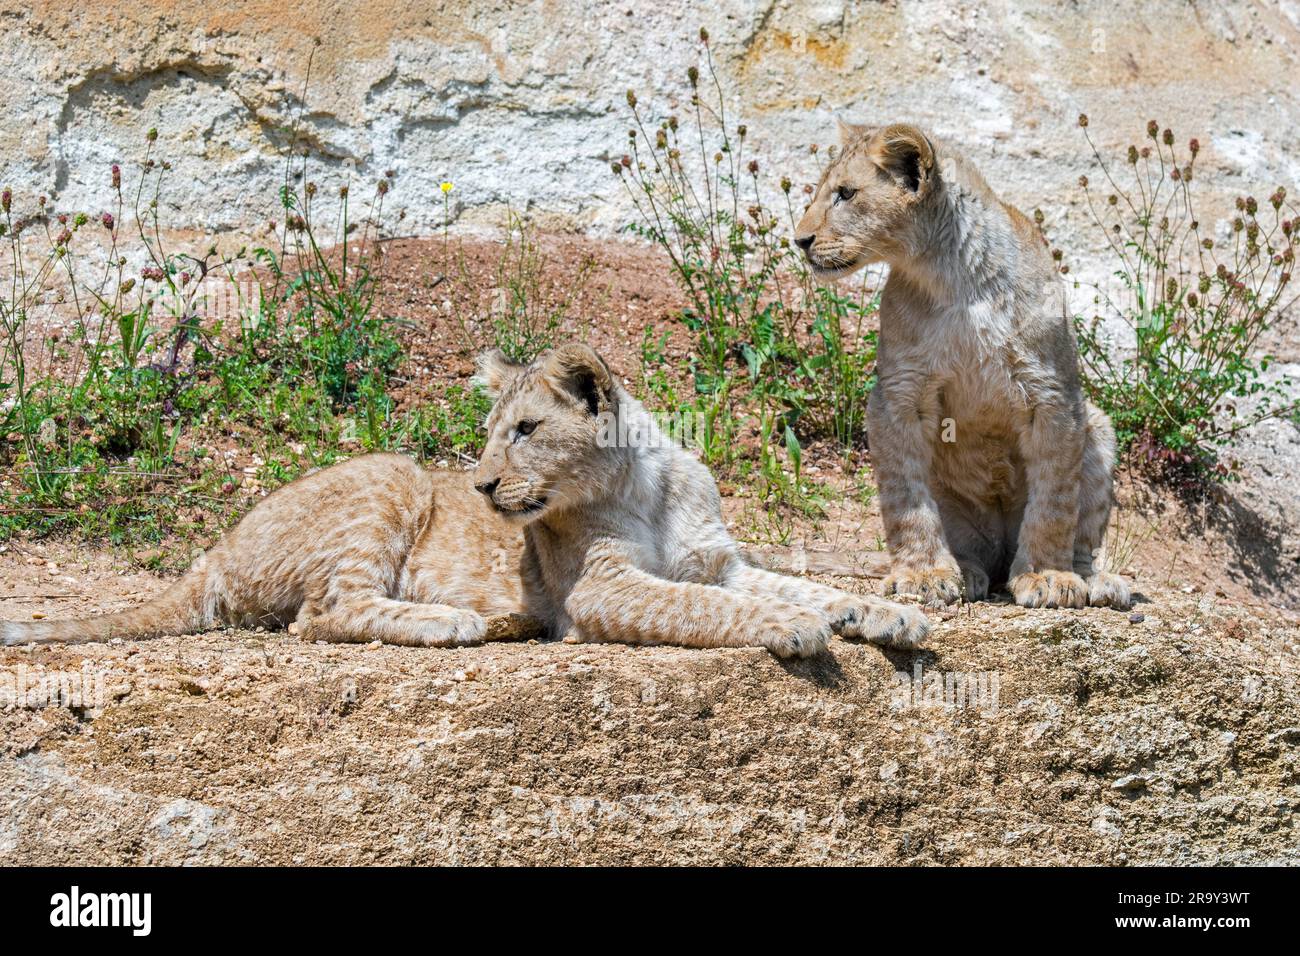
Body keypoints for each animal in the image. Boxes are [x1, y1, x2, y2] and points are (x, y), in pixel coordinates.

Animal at [2, 344, 929, 656]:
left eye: (523, 429)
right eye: (485, 435)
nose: (481, 485)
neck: (644, 485)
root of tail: (213, 554)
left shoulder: (720, 563)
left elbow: (800, 583)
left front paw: (888, 614)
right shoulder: (600, 590)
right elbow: (713, 609)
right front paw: (790, 629)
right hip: (390, 479)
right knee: (323, 613)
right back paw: (452, 621)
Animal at [794, 121, 1130, 610]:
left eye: (846, 194)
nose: (799, 241)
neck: (950, 276)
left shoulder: (1052, 394)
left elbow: (1054, 502)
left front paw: (1047, 576)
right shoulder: (899, 393)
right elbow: (906, 498)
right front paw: (923, 574)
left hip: (1099, 429)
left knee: (1081, 533)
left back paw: (1096, 581)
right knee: (972, 550)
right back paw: (968, 572)